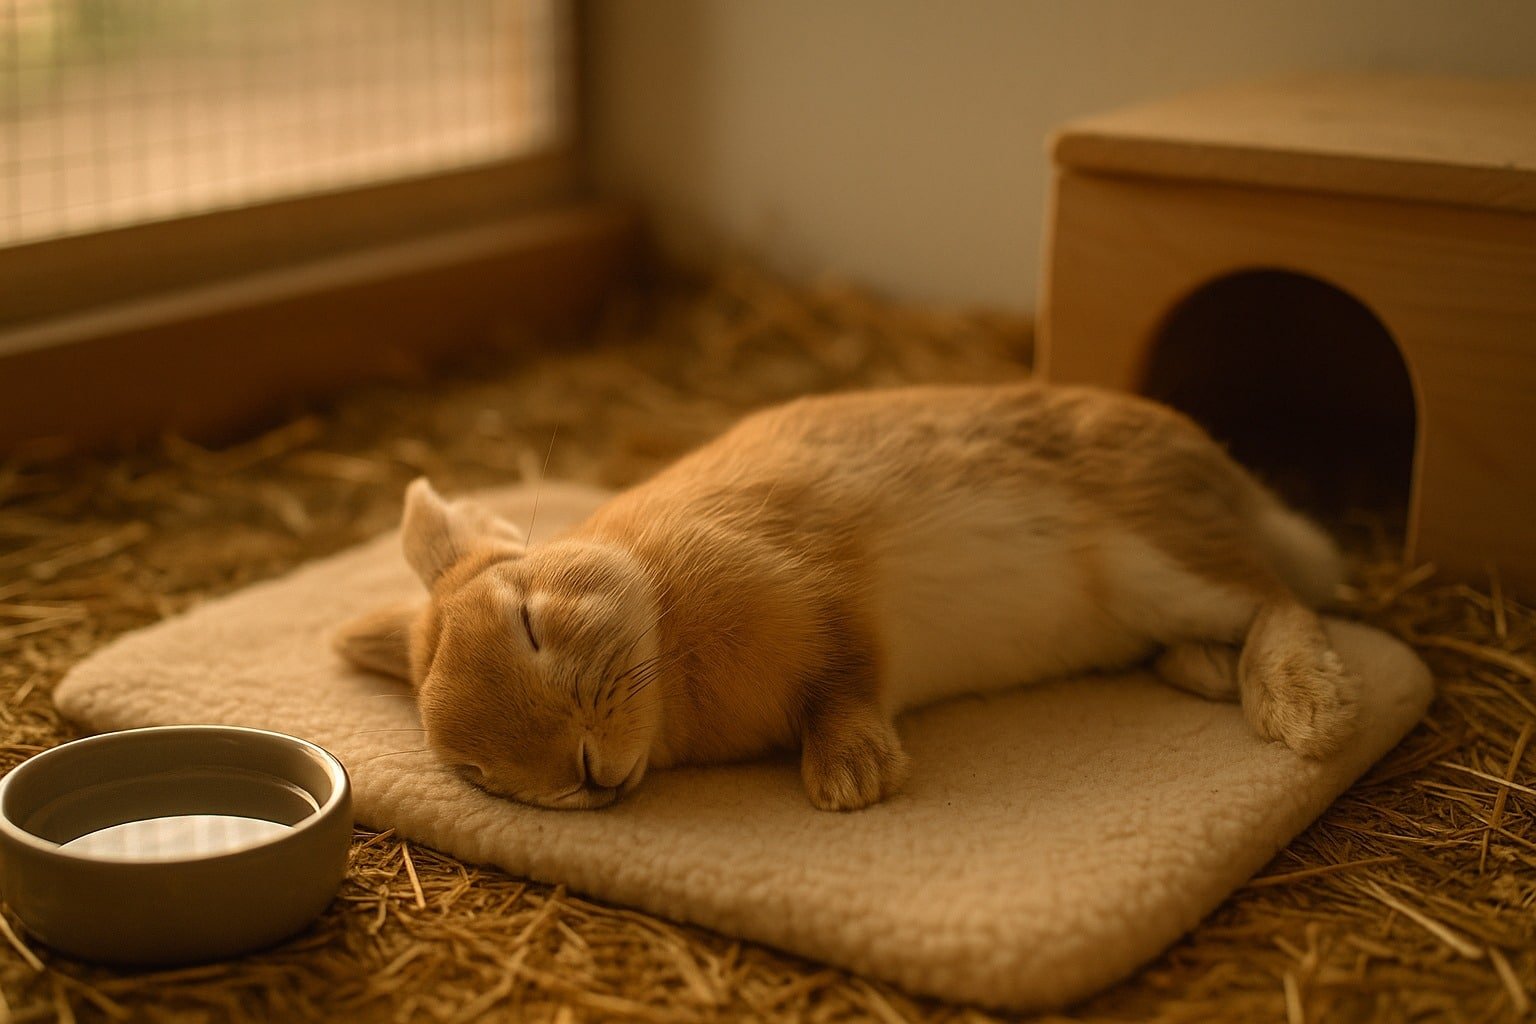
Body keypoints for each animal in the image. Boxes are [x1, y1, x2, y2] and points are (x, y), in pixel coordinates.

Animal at [335, 382, 1359, 811]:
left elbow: (843, 685)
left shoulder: (831, 606)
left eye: (531, 622)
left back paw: (1305, 709)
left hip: (1153, 554)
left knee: (1280, 597)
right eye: (474, 772)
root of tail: (1225, 481)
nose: (583, 776)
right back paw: (1213, 673)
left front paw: (851, 780)